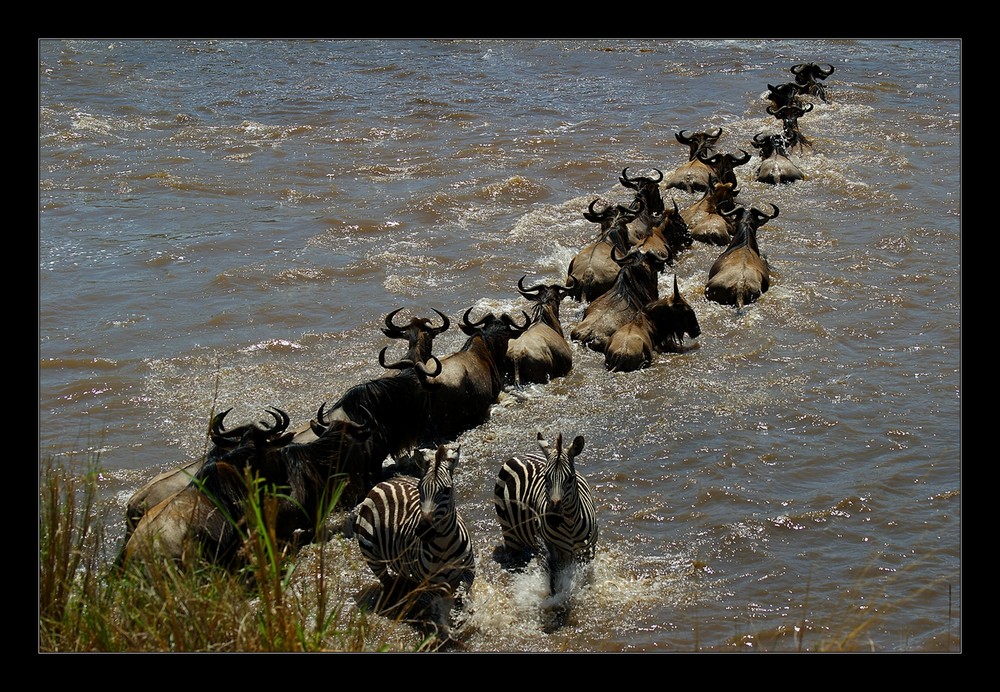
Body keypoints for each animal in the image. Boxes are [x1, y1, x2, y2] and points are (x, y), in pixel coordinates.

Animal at [354, 444, 474, 636]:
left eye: (447, 490)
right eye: (420, 489)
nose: (423, 530)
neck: (444, 545)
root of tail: (382, 483)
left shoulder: (468, 572)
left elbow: (460, 597)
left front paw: (460, 620)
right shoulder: (431, 585)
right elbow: (442, 607)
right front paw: (449, 628)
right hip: (372, 555)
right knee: (387, 582)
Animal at [492, 430, 592, 592]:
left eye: (570, 478)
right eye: (545, 477)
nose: (553, 518)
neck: (570, 525)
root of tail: (517, 456)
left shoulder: (588, 550)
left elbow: (585, 575)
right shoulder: (551, 549)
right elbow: (553, 579)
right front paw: (556, 596)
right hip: (509, 532)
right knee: (515, 559)